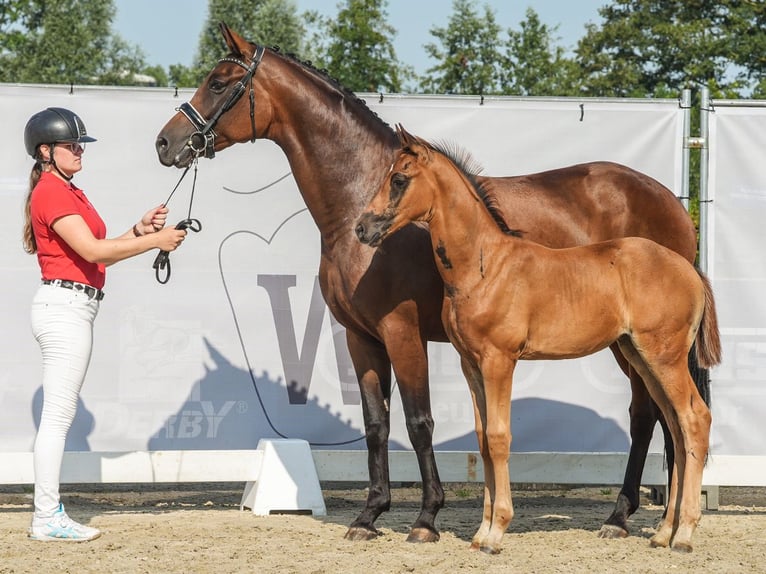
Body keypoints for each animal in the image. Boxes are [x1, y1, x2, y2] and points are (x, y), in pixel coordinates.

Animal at [356, 125, 724, 552]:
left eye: (399, 179)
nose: (362, 227)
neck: (484, 266)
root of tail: (690, 269)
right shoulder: (471, 365)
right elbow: (483, 441)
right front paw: (480, 533)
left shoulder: (500, 360)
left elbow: (500, 436)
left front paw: (496, 531)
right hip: (641, 356)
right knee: (676, 427)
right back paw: (664, 532)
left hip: (663, 357)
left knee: (694, 420)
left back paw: (683, 534)